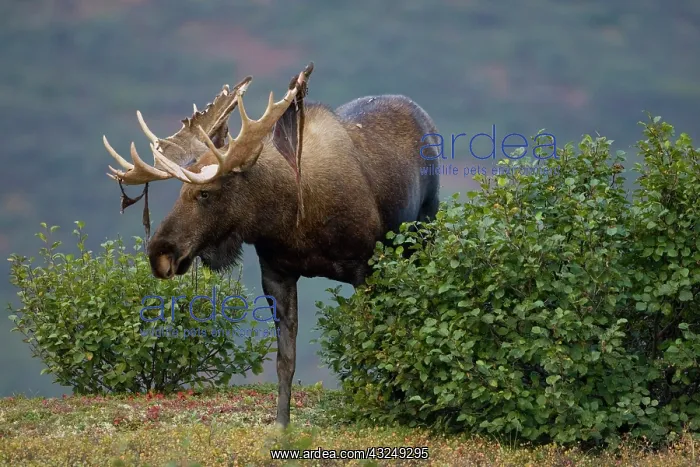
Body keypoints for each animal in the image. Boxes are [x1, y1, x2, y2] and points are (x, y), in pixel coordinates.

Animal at [102, 63, 441, 427]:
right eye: (181, 191)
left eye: (205, 192)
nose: (159, 254)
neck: (291, 217)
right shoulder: (276, 274)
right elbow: (284, 360)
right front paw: (281, 422)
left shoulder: (364, 268)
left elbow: (366, 344)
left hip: (424, 230)